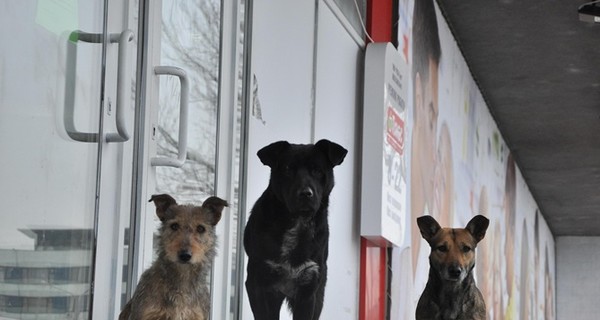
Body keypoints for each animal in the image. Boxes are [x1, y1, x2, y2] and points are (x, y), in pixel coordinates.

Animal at [244, 140, 346, 320]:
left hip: (319, 294)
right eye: (287, 169)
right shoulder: (258, 284)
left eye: (317, 170)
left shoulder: (308, 289)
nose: (305, 193)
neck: (297, 223)